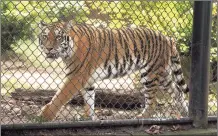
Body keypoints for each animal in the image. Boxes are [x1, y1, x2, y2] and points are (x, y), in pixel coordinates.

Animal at [38, 20, 188, 121]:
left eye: (58, 37)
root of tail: (168, 38)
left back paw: (141, 117)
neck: (68, 51)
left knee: (153, 102)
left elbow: (60, 97)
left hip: (150, 74)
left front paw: (44, 116)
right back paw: (185, 113)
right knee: (178, 92)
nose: (49, 48)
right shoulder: (87, 80)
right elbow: (89, 101)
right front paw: (89, 118)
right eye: (45, 36)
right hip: (163, 75)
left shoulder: (76, 76)